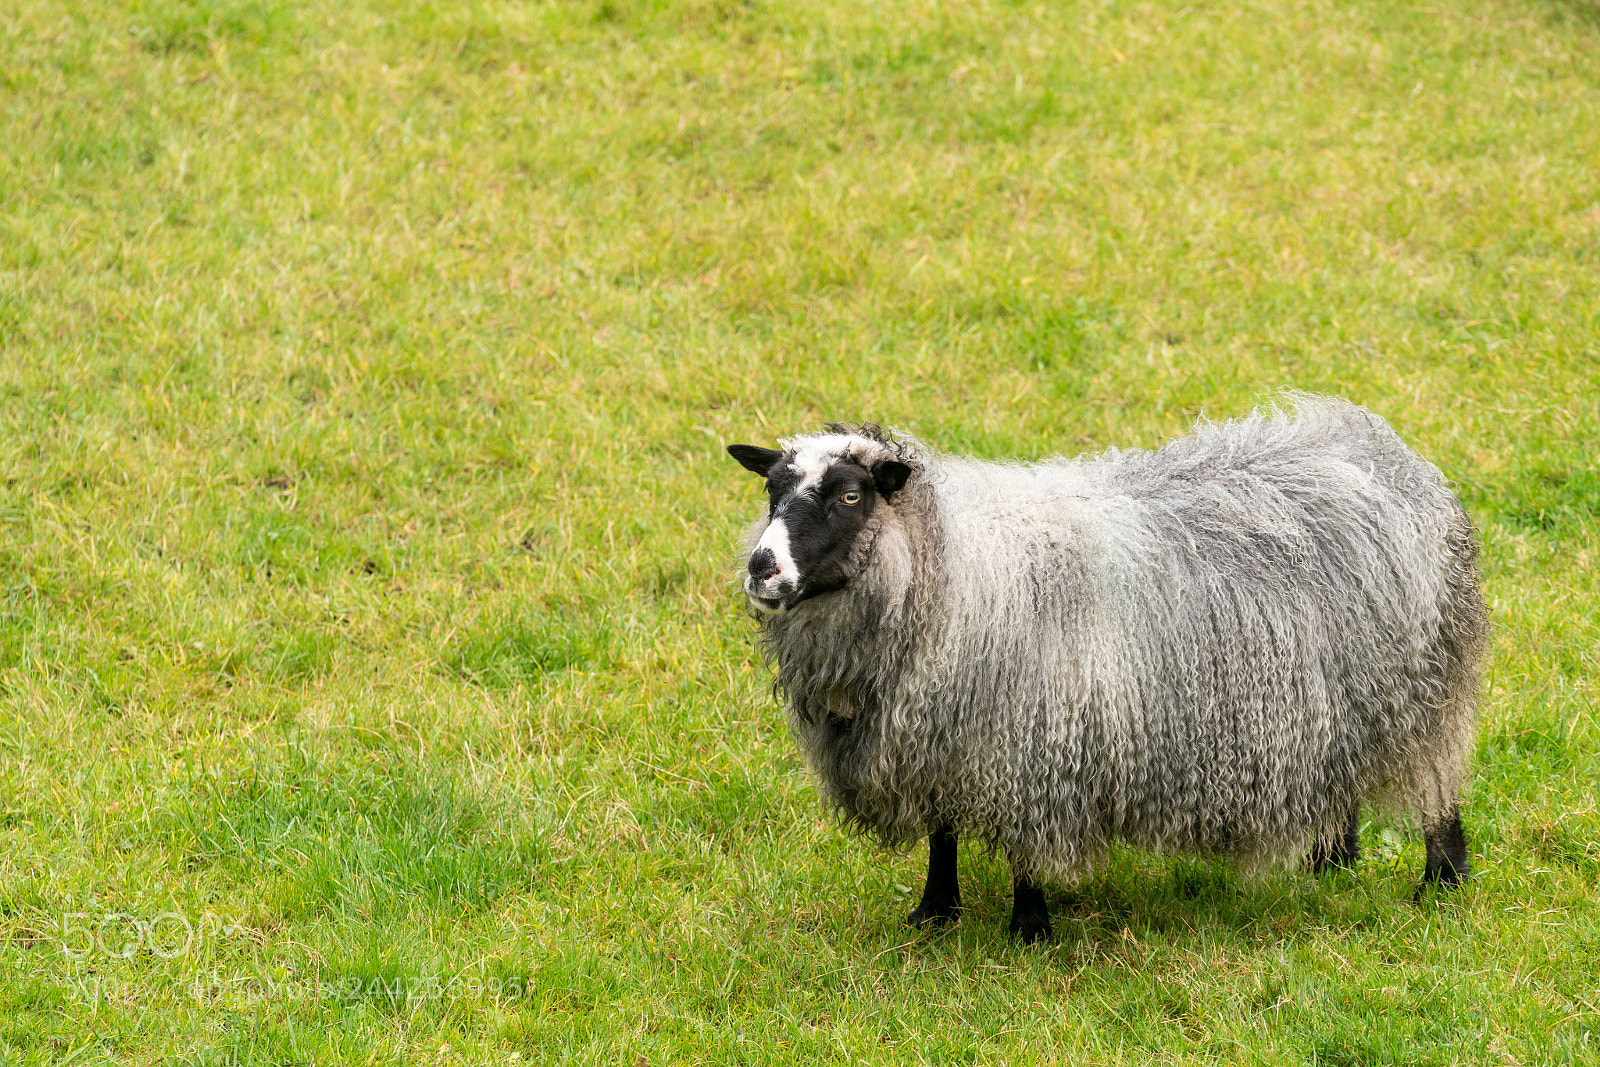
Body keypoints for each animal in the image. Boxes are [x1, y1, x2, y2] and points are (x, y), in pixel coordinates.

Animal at [726, 396, 1487, 942]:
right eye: (772, 492)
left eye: (851, 496)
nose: (761, 567)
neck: (948, 564)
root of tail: (1391, 453)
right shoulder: (937, 734)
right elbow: (942, 834)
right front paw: (935, 913)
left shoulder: (1027, 737)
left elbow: (1025, 845)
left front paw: (1029, 926)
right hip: (1341, 691)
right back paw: (1331, 858)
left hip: (1421, 687)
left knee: (1439, 786)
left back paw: (1440, 883)